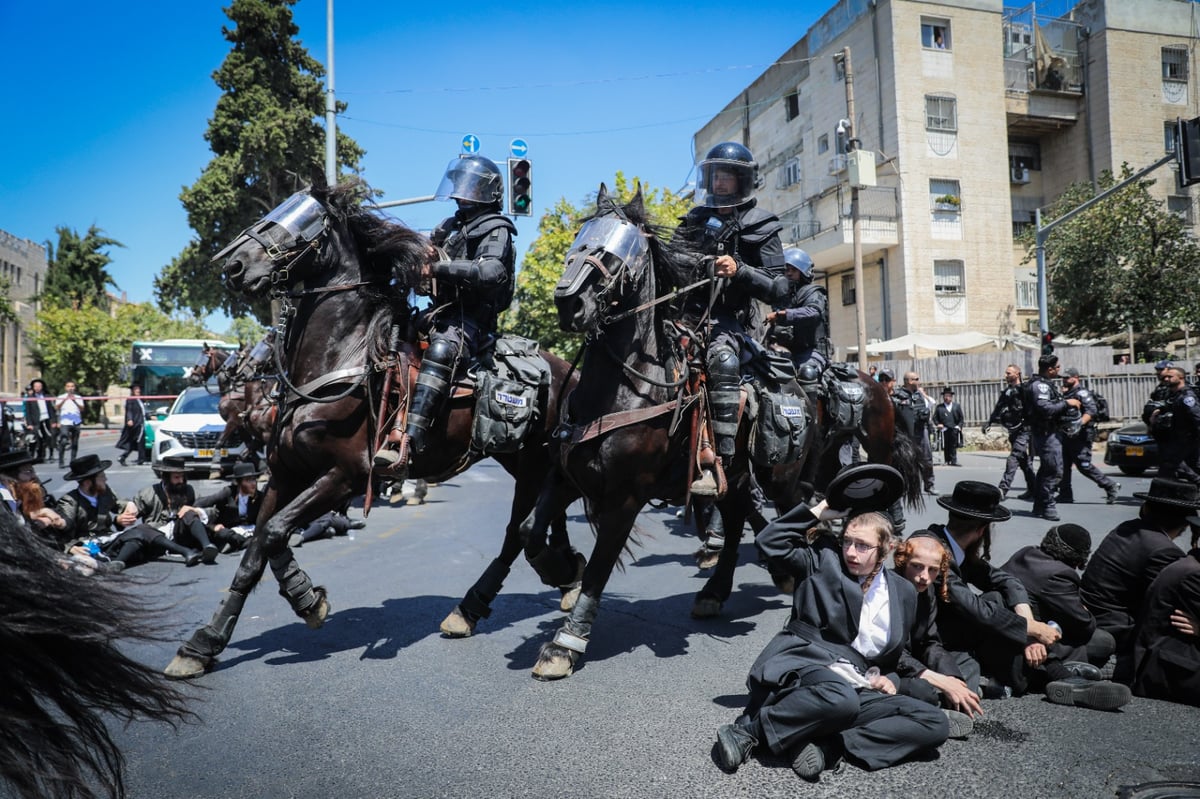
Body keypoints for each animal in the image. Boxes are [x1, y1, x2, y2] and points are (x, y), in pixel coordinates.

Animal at [165, 182, 585, 676]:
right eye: (285, 208)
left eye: (303, 220)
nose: (234, 265)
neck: (340, 357)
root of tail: (569, 372)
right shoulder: (286, 474)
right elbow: (258, 549)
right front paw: (205, 642)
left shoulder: (345, 476)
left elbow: (272, 534)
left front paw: (305, 599)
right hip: (522, 461)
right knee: (542, 518)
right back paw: (544, 584)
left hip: (532, 461)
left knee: (518, 531)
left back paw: (509, 594)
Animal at [516, 184, 916, 676]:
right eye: (581, 238)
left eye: (618, 250)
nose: (569, 301)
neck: (627, 389)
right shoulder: (567, 477)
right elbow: (531, 533)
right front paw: (561, 569)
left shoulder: (625, 497)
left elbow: (600, 566)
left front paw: (567, 641)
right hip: (738, 472)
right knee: (738, 514)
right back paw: (718, 589)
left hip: (788, 474)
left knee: (795, 511)